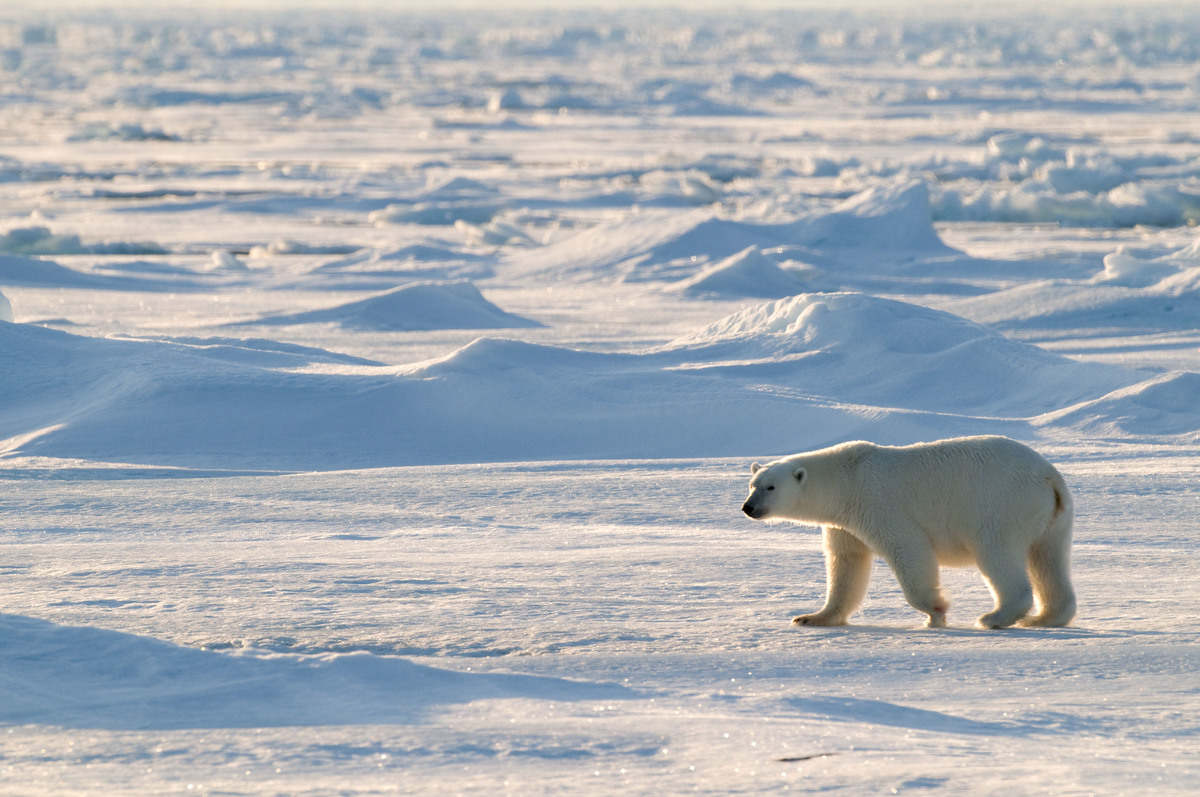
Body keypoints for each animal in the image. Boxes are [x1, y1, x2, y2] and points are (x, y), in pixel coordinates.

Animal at [739, 436, 1080, 628]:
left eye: (771, 487)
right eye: (752, 485)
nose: (748, 507)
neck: (846, 479)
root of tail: (1048, 475)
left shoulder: (876, 503)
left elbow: (908, 548)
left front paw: (937, 610)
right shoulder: (844, 524)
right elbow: (846, 564)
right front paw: (811, 617)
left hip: (1001, 505)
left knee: (998, 553)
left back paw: (994, 618)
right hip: (1054, 518)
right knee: (1048, 559)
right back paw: (1045, 617)